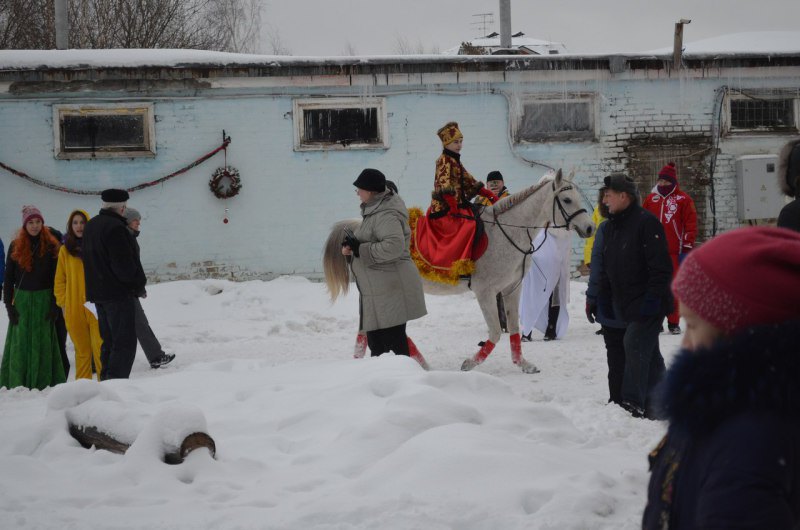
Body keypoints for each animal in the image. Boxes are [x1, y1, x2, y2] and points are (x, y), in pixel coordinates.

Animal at [324, 169, 592, 372]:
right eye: (567, 200)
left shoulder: (511, 290)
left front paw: (523, 363)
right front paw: (470, 363)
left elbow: (514, 329)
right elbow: (496, 332)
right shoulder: (485, 292)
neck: (506, 232)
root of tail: (357, 228)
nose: (590, 228)